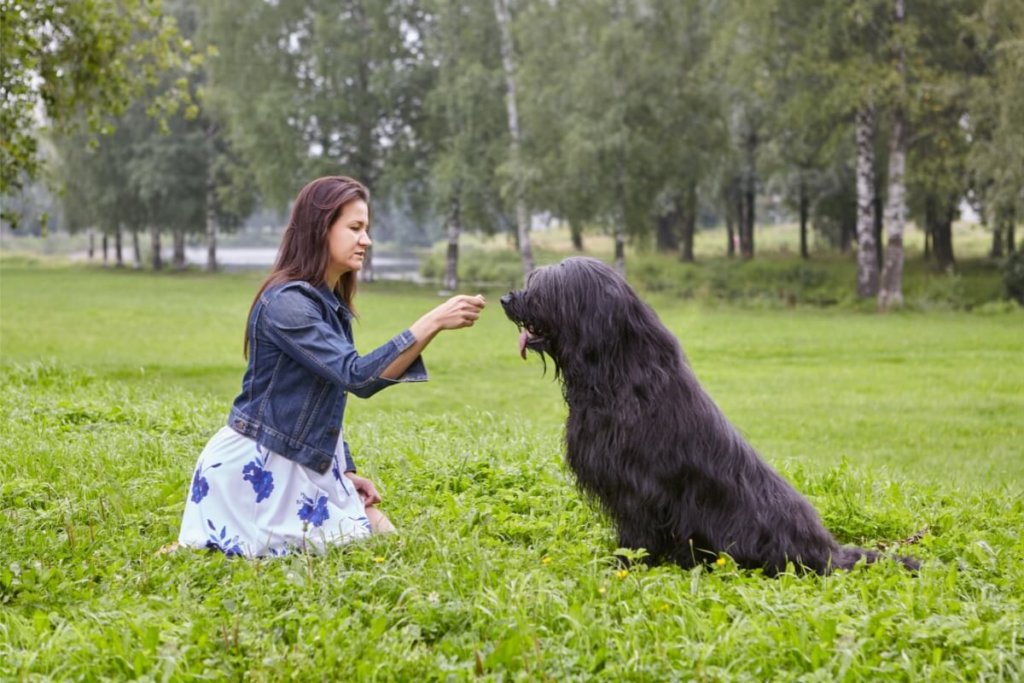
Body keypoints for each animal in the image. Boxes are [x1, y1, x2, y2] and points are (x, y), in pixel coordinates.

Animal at [501, 255, 921, 577]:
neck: (616, 373)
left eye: (545, 289)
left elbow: (638, 532)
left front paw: (625, 564)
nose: (505, 298)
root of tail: (829, 553)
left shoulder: (638, 484)